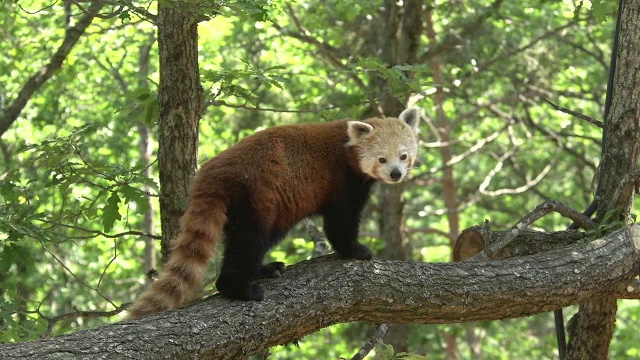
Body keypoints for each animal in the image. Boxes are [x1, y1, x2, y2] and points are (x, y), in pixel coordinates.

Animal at [127, 108, 422, 320]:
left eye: (403, 156)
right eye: (382, 159)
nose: (396, 174)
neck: (348, 145)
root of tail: (211, 175)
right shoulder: (342, 181)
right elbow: (340, 223)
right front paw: (356, 251)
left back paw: (264, 269)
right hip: (256, 196)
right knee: (250, 242)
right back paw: (240, 288)